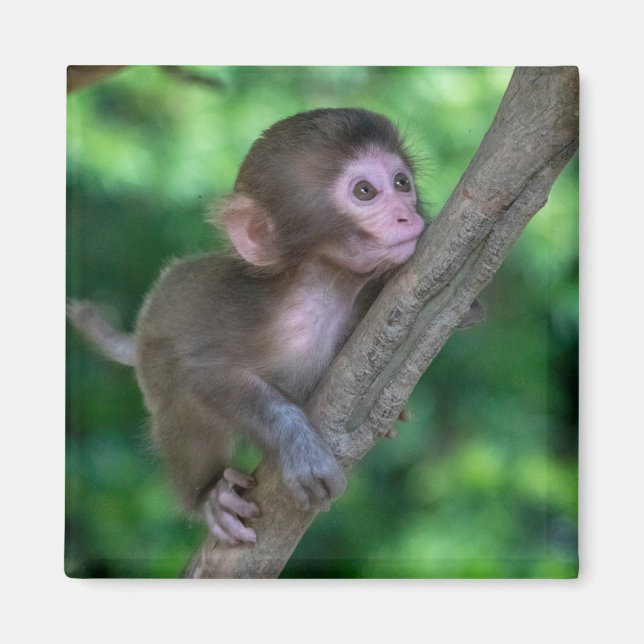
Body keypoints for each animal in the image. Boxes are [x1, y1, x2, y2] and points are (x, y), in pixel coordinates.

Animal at [69, 108, 432, 545]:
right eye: (365, 191)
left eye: (402, 182)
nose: (408, 215)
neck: (322, 293)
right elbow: (203, 373)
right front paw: (298, 447)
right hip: (154, 363)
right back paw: (209, 496)